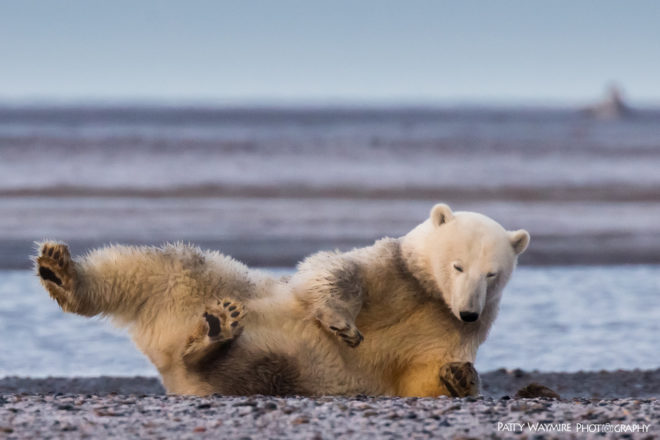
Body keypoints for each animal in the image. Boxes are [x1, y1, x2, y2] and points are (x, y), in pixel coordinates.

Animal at [35, 203, 529, 397]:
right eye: (457, 265)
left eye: (492, 273)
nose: (468, 311)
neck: (428, 295)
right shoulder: (391, 271)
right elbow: (332, 274)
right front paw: (342, 324)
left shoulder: (447, 328)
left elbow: (423, 373)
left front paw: (460, 376)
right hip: (202, 283)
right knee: (149, 266)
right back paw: (60, 270)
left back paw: (212, 337)